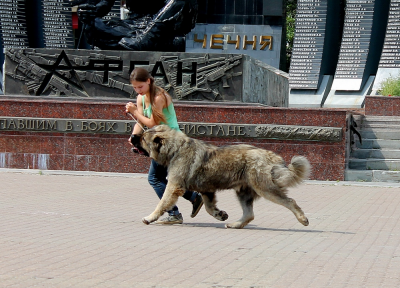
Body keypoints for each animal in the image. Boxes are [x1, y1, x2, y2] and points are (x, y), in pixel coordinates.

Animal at [133, 125, 310, 228]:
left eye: (143, 138)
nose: (133, 136)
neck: (176, 149)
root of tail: (272, 156)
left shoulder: (174, 186)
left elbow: (162, 203)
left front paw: (150, 218)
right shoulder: (207, 190)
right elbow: (209, 207)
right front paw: (220, 214)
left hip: (265, 188)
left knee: (290, 201)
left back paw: (302, 219)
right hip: (244, 193)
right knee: (249, 214)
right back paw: (236, 224)